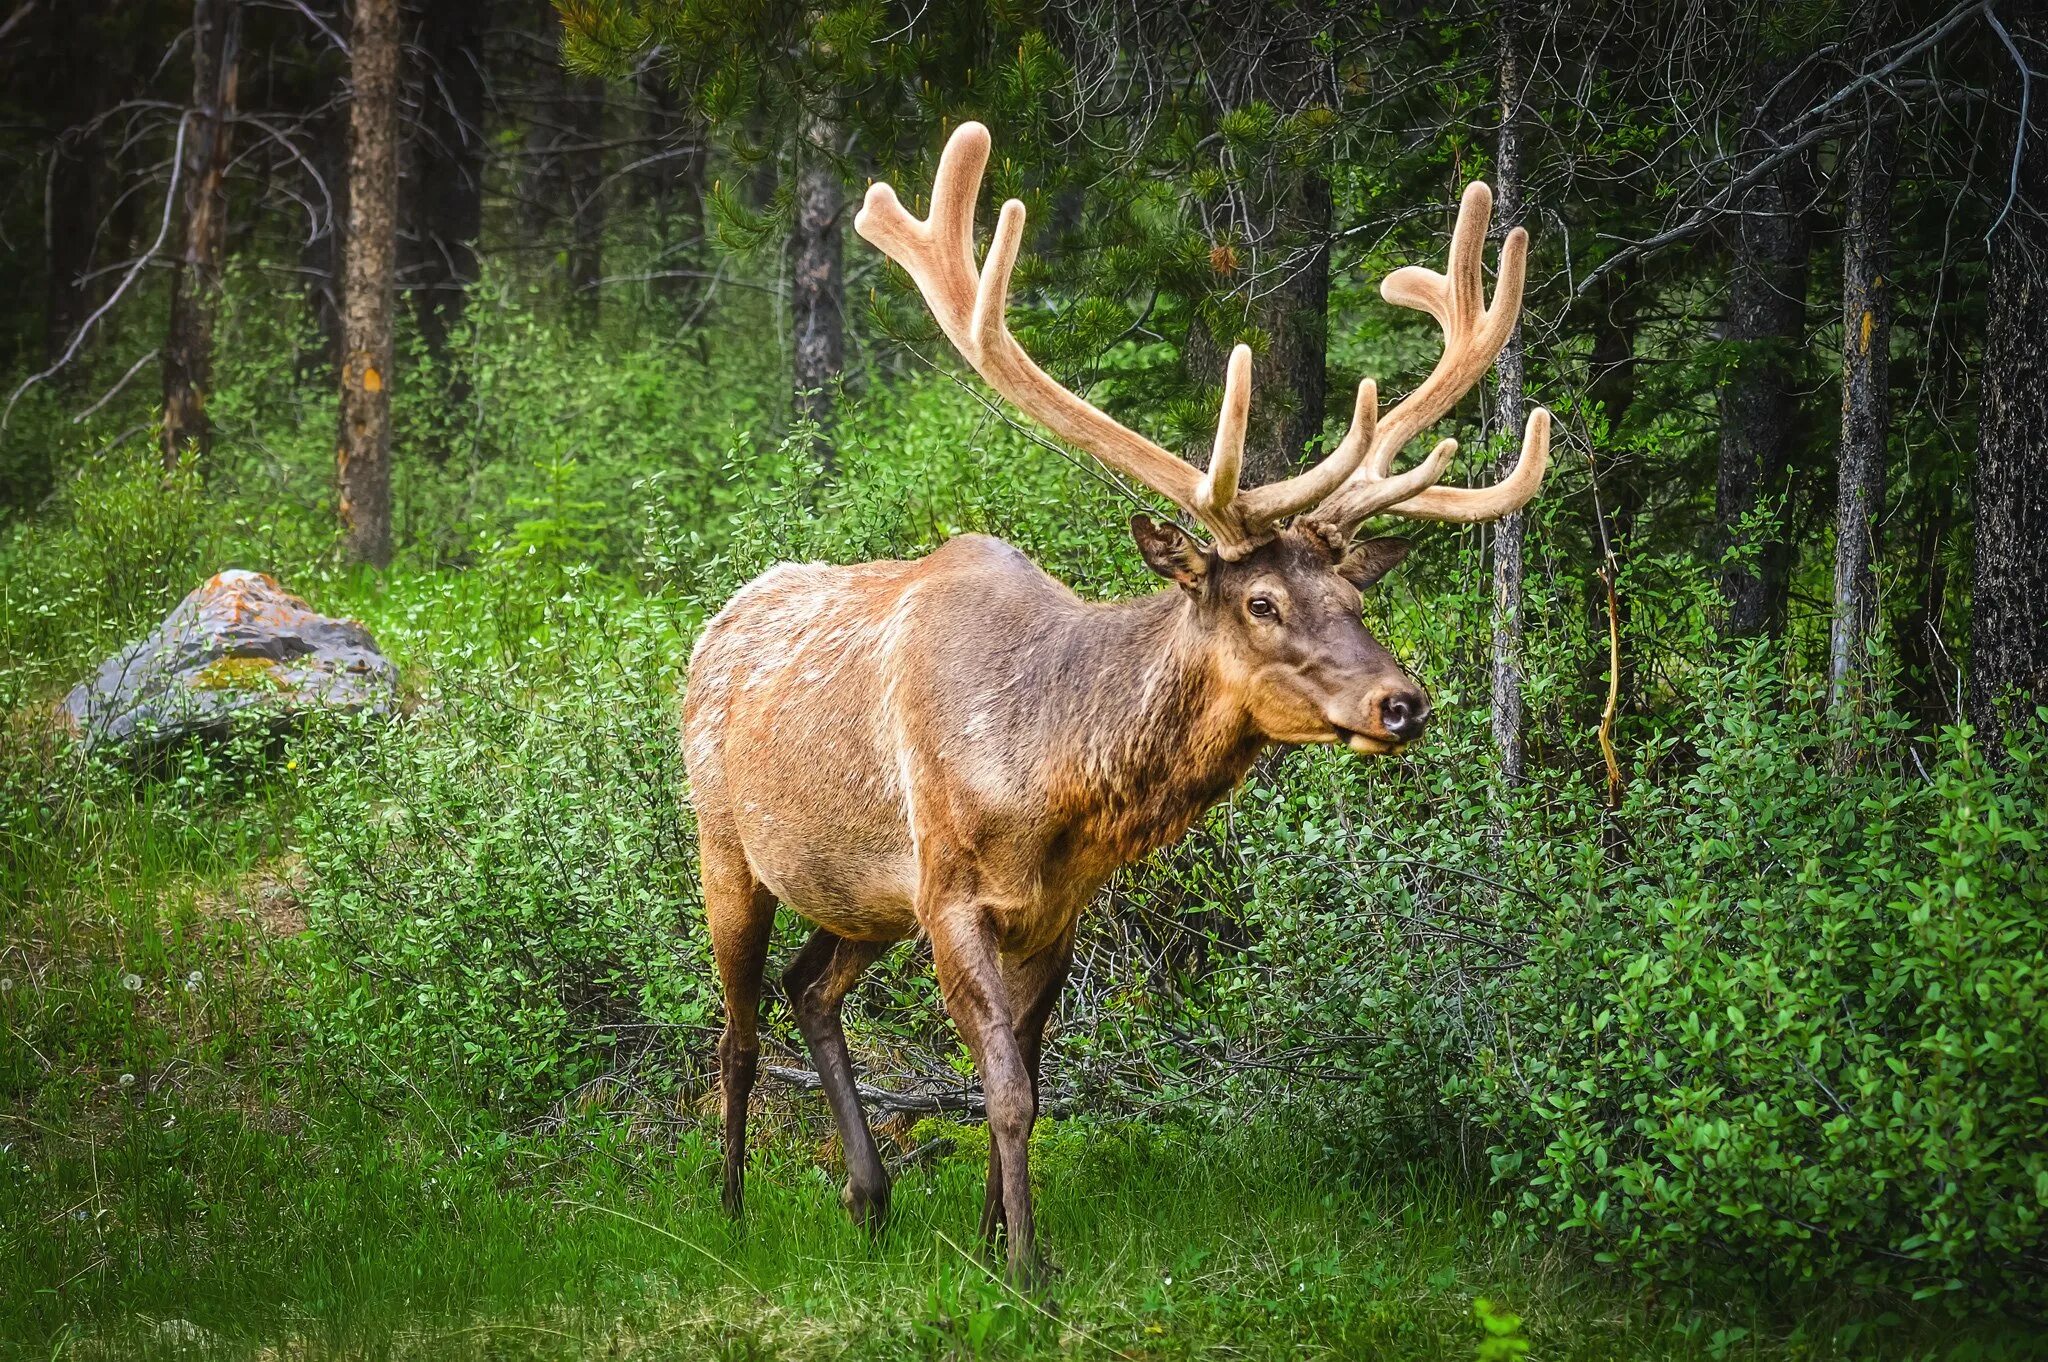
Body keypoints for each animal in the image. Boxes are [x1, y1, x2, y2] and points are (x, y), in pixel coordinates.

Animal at [679, 122, 1540, 1278]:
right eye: (1261, 600)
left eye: (1356, 595)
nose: (1402, 702)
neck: (1050, 786)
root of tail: (714, 623)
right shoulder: (952, 892)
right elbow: (1000, 1092)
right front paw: (1026, 1270)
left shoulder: (1054, 910)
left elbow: (1032, 1082)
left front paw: (994, 1237)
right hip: (727, 845)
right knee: (734, 1030)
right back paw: (729, 1210)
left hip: (864, 896)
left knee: (808, 987)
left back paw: (868, 1197)